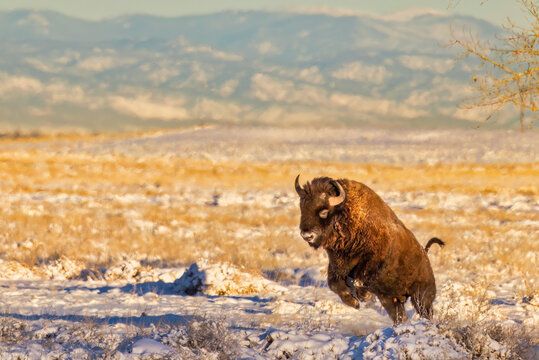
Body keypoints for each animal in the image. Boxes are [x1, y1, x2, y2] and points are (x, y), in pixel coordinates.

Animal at [298, 176, 446, 324]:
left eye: (324, 211)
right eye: (302, 208)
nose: (307, 235)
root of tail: (425, 254)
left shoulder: (372, 262)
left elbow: (360, 280)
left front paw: (364, 298)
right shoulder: (337, 265)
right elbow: (334, 284)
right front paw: (355, 303)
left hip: (421, 297)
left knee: (424, 311)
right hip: (390, 300)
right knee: (400, 316)